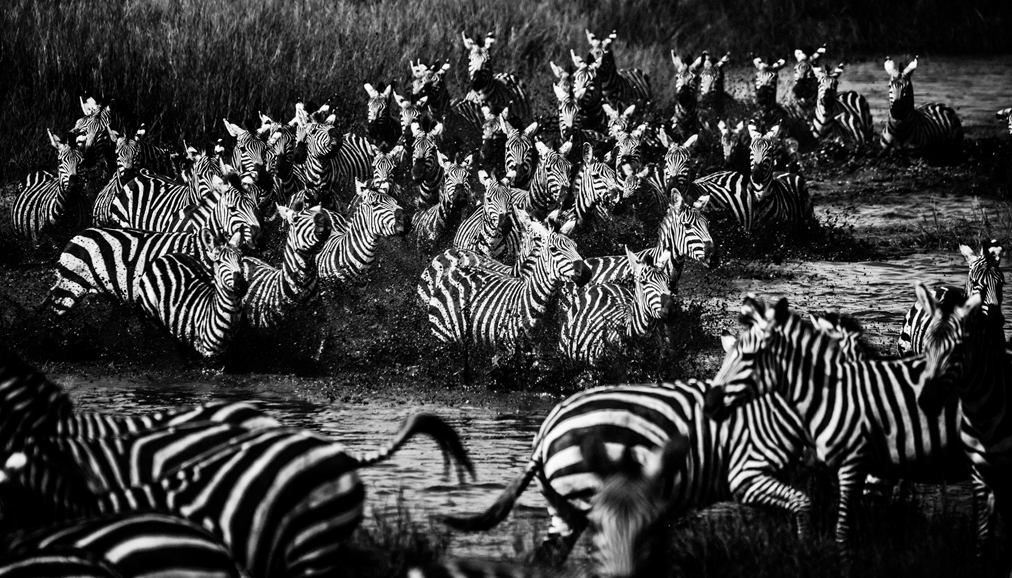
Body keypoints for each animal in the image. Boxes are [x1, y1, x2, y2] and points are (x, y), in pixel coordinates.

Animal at [135, 231, 248, 359]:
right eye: (219, 262)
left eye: (241, 260)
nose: (242, 285)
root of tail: (166, 256)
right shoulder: (207, 356)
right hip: (149, 312)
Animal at [442, 380, 815, 574]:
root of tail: (546, 435)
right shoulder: (749, 473)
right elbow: (803, 505)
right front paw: (805, 554)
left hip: (564, 508)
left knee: (547, 558)